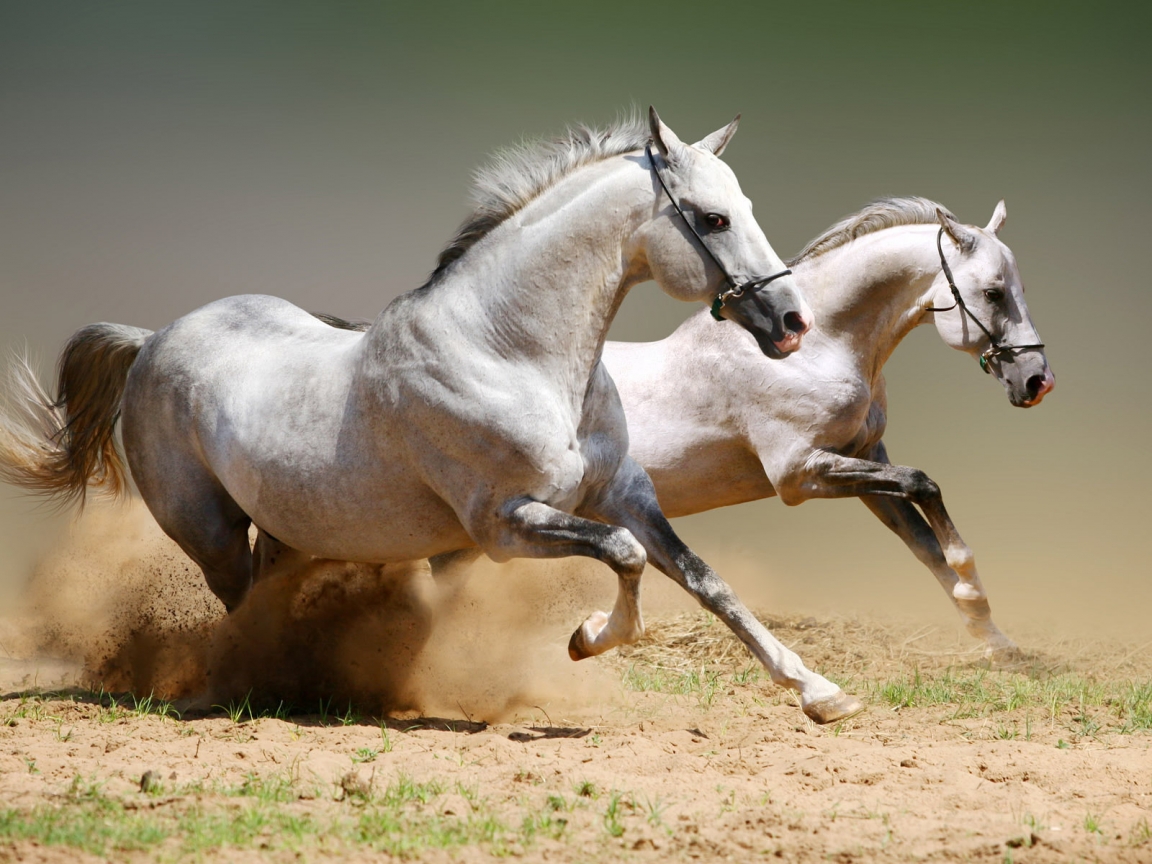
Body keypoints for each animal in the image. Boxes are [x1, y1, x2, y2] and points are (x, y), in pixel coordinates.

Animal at [0, 111, 866, 728]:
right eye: (713, 219)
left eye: (744, 207)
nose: (791, 322)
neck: (510, 351)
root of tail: (153, 339)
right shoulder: (505, 523)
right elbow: (622, 560)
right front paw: (587, 639)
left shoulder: (624, 495)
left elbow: (707, 582)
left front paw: (821, 693)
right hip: (208, 531)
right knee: (238, 605)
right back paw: (253, 686)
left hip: (287, 528)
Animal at [608, 199, 1055, 658]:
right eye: (993, 293)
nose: (1038, 381)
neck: (816, 350)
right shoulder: (799, 474)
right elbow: (923, 484)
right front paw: (971, 586)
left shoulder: (864, 459)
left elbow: (925, 544)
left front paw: (995, 638)